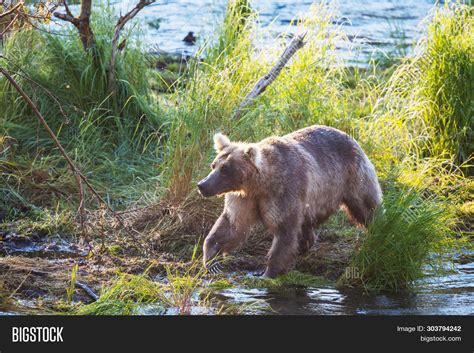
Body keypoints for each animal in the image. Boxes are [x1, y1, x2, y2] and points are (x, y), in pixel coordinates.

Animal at [198, 125, 384, 276]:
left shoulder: (285, 190)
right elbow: (233, 225)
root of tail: (350, 137)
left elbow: (284, 231)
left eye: (225, 169)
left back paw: (378, 229)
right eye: (214, 165)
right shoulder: (244, 198)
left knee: (365, 206)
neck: (260, 184)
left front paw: (269, 273)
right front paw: (212, 260)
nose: (202, 185)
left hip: (353, 176)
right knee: (306, 224)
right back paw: (304, 245)